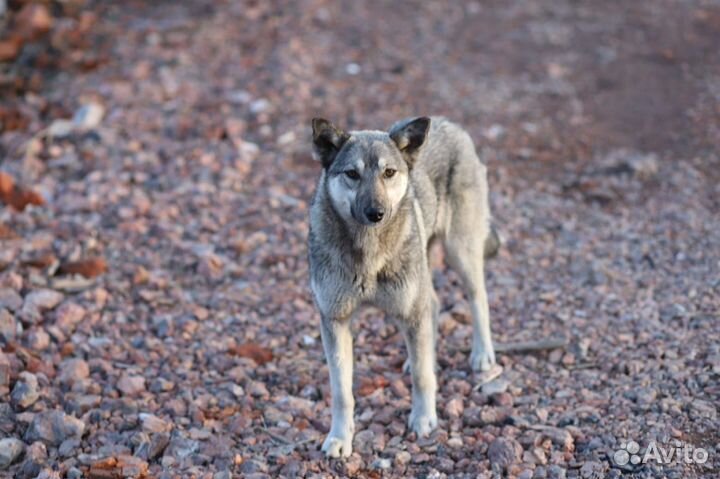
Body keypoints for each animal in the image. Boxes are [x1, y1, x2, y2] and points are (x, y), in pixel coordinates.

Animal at [306, 115, 498, 458]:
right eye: (352, 174)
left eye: (389, 173)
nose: (376, 213)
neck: (368, 253)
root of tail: (450, 123)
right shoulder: (335, 322)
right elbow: (341, 392)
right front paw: (340, 439)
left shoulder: (410, 310)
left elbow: (422, 378)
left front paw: (423, 419)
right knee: (434, 306)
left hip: (459, 254)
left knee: (479, 298)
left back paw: (482, 354)